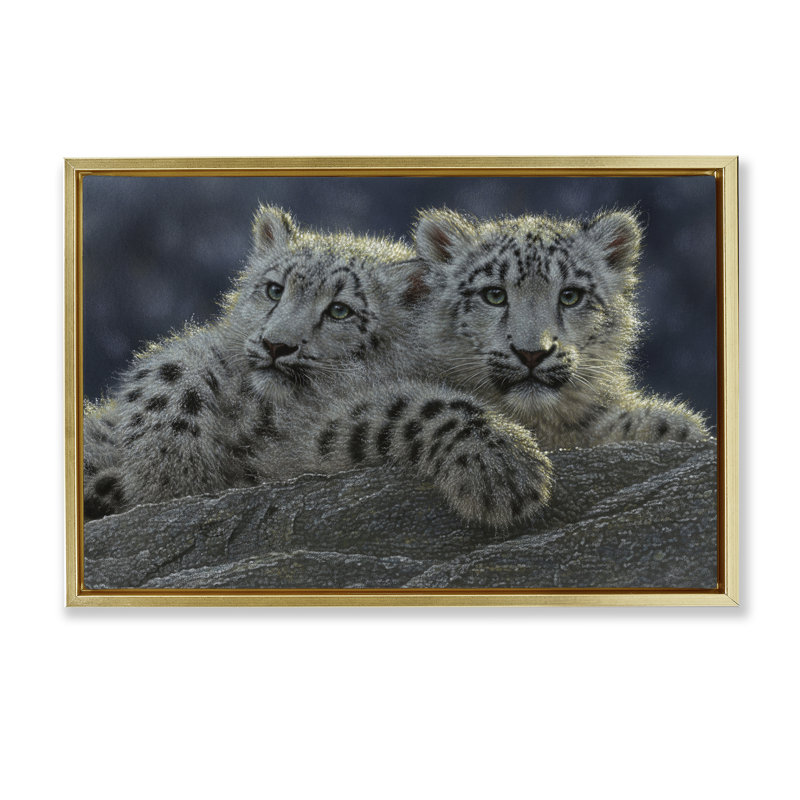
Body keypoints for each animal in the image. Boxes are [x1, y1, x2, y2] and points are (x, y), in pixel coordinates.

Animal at [83, 205, 552, 529]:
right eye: (274, 289)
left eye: (340, 310)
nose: (276, 345)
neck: (264, 413)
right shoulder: (207, 356)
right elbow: (170, 370)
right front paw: (168, 468)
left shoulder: (305, 442)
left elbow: (413, 406)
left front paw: (507, 466)